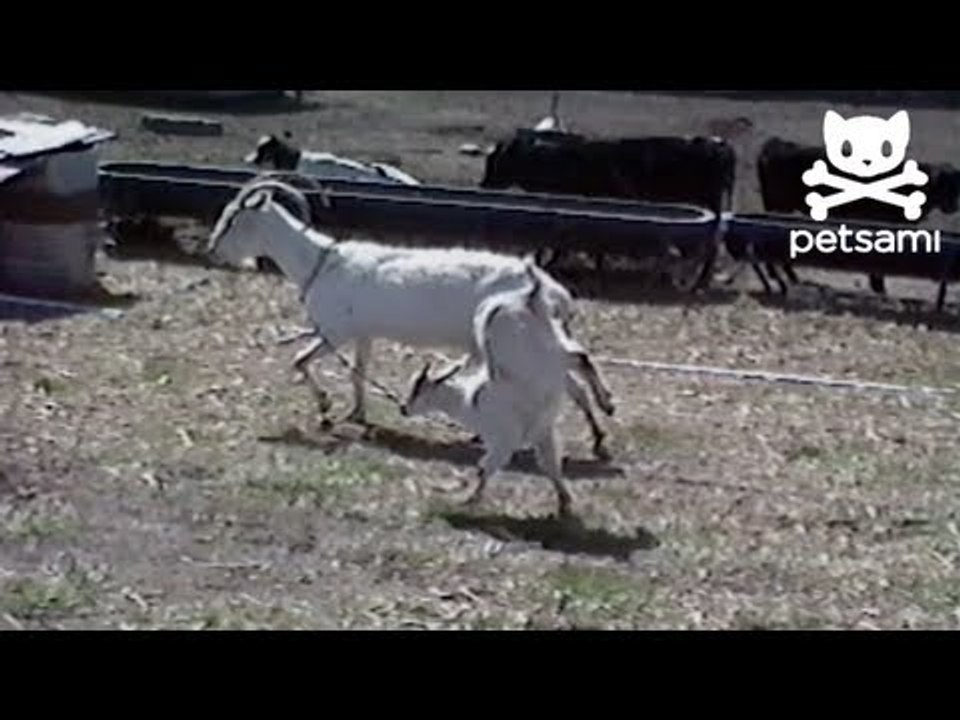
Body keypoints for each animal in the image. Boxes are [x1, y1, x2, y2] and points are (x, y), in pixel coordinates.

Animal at [206, 177, 616, 458]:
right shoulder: (363, 333)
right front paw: (356, 414)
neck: (319, 261)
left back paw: (605, 407)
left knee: (575, 363)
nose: (212, 250)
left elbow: (299, 360)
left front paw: (324, 411)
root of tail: (551, 290)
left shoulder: (336, 331)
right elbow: (357, 372)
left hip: (516, 340)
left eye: (233, 219)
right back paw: (598, 434)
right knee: (570, 377)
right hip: (535, 341)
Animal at [400, 262, 608, 517]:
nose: (403, 408)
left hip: (542, 352)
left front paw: (467, 500)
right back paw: (605, 410)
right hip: (554, 342)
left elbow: (486, 467)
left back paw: (606, 405)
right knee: (580, 358)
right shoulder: (541, 433)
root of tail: (528, 297)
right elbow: (550, 465)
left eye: (418, 390)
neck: (471, 401)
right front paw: (564, 502)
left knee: (579, 359)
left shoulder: (504, 440)